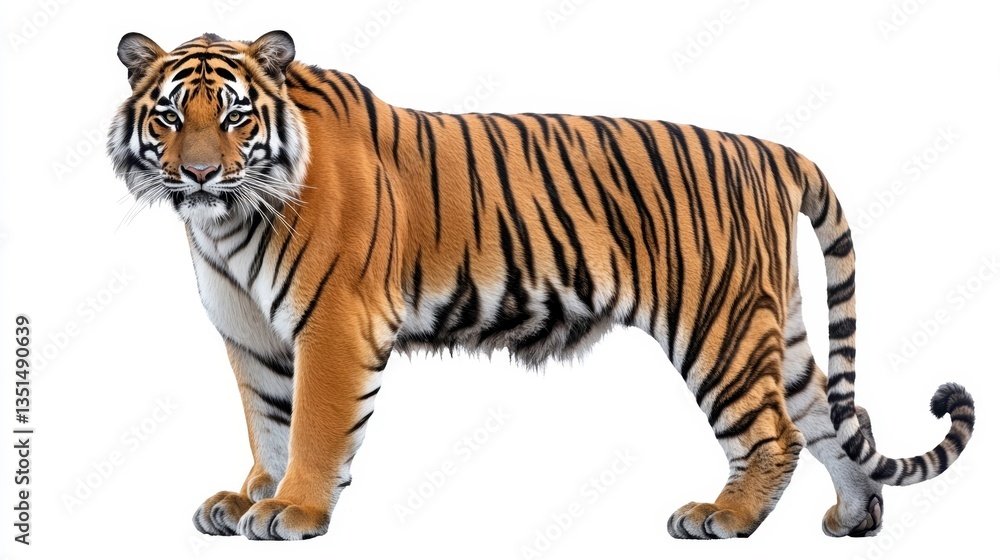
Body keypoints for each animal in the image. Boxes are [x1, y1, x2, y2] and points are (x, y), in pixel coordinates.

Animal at [108, 30, 975, 541]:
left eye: (235, 118)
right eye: (170, 117)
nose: (199, 174)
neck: (229, 221)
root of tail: (770, 149)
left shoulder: (334, 327)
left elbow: (316, 428)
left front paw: (294, 509)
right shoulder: (250, 334)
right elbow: (269, 421)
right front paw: (249, 497)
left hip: (720, 325)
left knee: (776, 431)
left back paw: (723, 517)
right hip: (774, 321)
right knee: (832, 416)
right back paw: (855, 516)